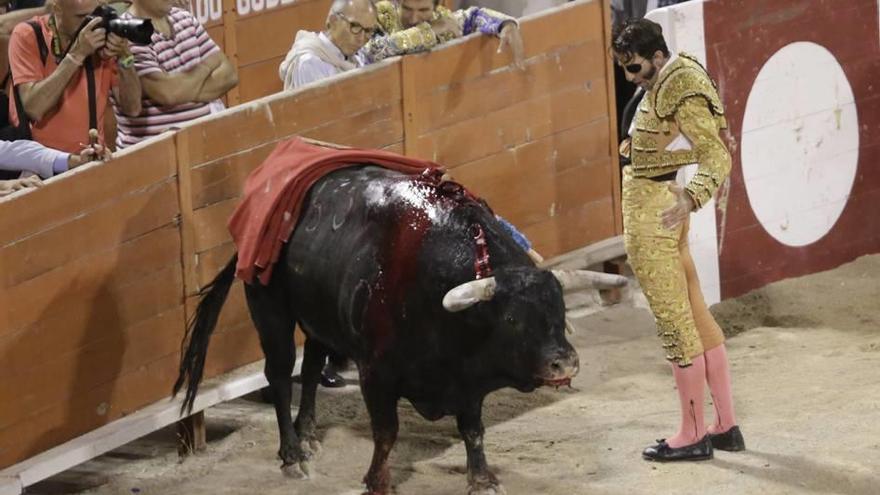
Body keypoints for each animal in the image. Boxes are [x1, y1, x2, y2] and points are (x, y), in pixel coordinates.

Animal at [174, 167, 624, 495]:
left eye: (560, 310)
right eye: (513, 319)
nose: (564, 362)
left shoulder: (467, 380)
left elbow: (473, 430)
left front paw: (481, 480)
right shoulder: (377, 374)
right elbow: (386, 432)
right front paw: (377, 482)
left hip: (321, 319)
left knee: (314, 362)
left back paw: (309, 432)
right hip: (270, 309)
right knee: (281, 375)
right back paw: (292, 455)